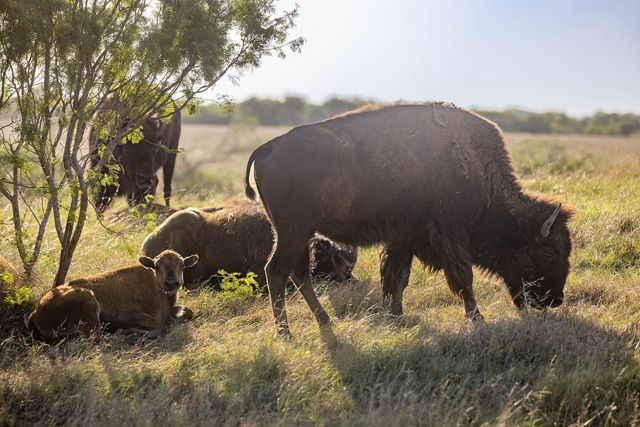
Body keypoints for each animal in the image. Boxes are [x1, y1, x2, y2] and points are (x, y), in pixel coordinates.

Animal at [245, 103, 573, 337]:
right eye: (549, 252)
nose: (555, 299)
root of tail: (267, 147)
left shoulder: (403, 240)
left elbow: (398, 278)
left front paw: (396, 315)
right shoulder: (449, 238)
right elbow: (463, 279)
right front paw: (478, 318)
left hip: (297, 234)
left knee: (299, 273)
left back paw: (324, 322)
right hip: (293, 232)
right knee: (277, 270)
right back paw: (285, 333)